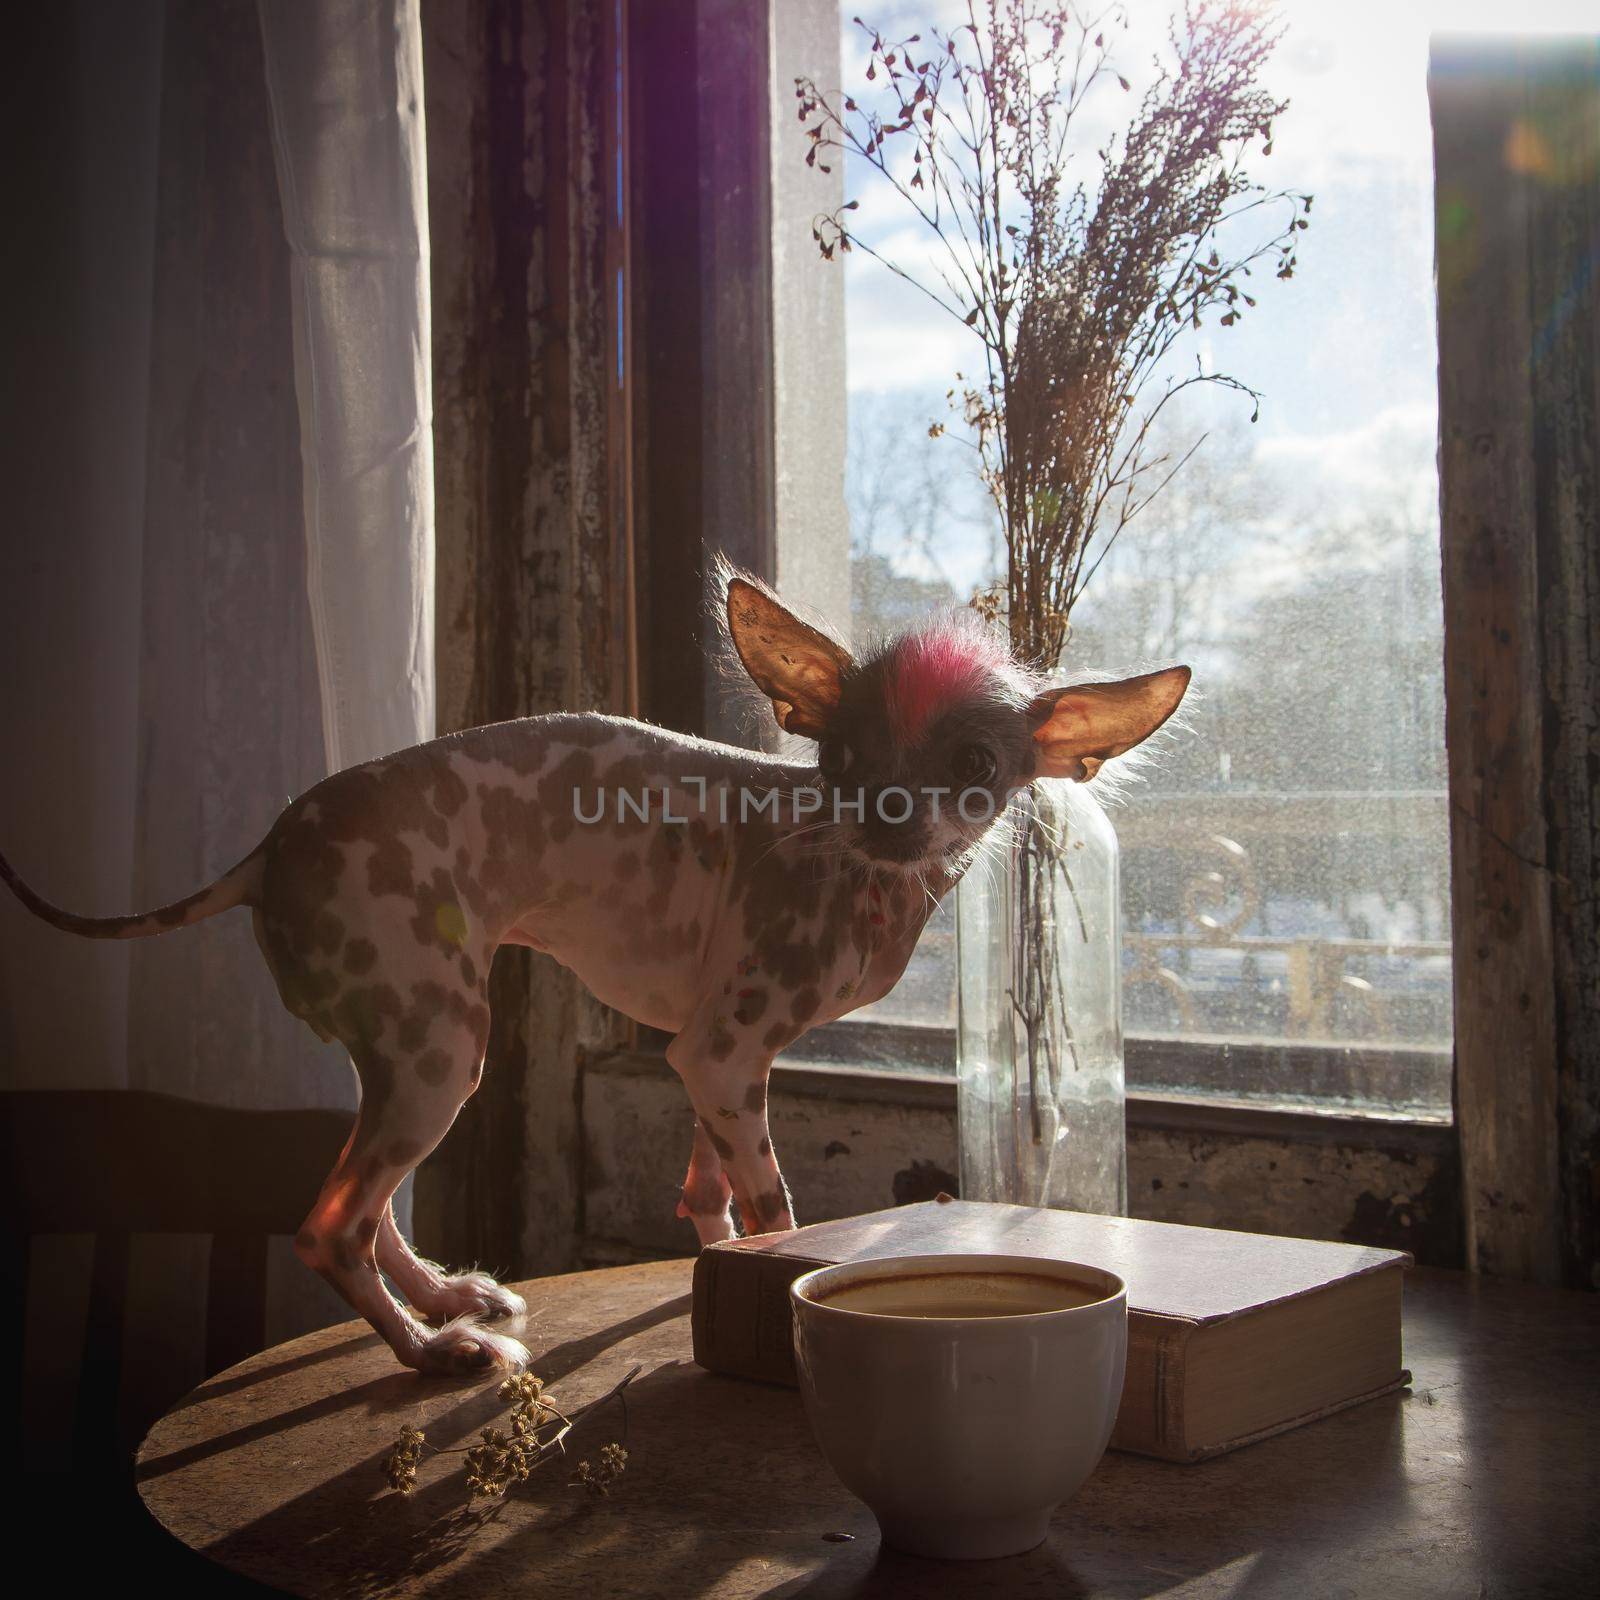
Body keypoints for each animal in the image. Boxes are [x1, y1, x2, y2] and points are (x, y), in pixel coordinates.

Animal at [3, 576, 1190, 1376]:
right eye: (844, 757)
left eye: (976, 769)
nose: (884, 822)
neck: (860, 882)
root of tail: (267, 848)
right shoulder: (722, 1050)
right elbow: (774, 1208)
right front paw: (776, 1277)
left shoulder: (712, 1066)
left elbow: (708, 1192)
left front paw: (712, 1266)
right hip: (440, 1052)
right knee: (327, 1225)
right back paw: (429, 1352)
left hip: (400, 1048)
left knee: (364, 1202)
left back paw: (445, 1295)